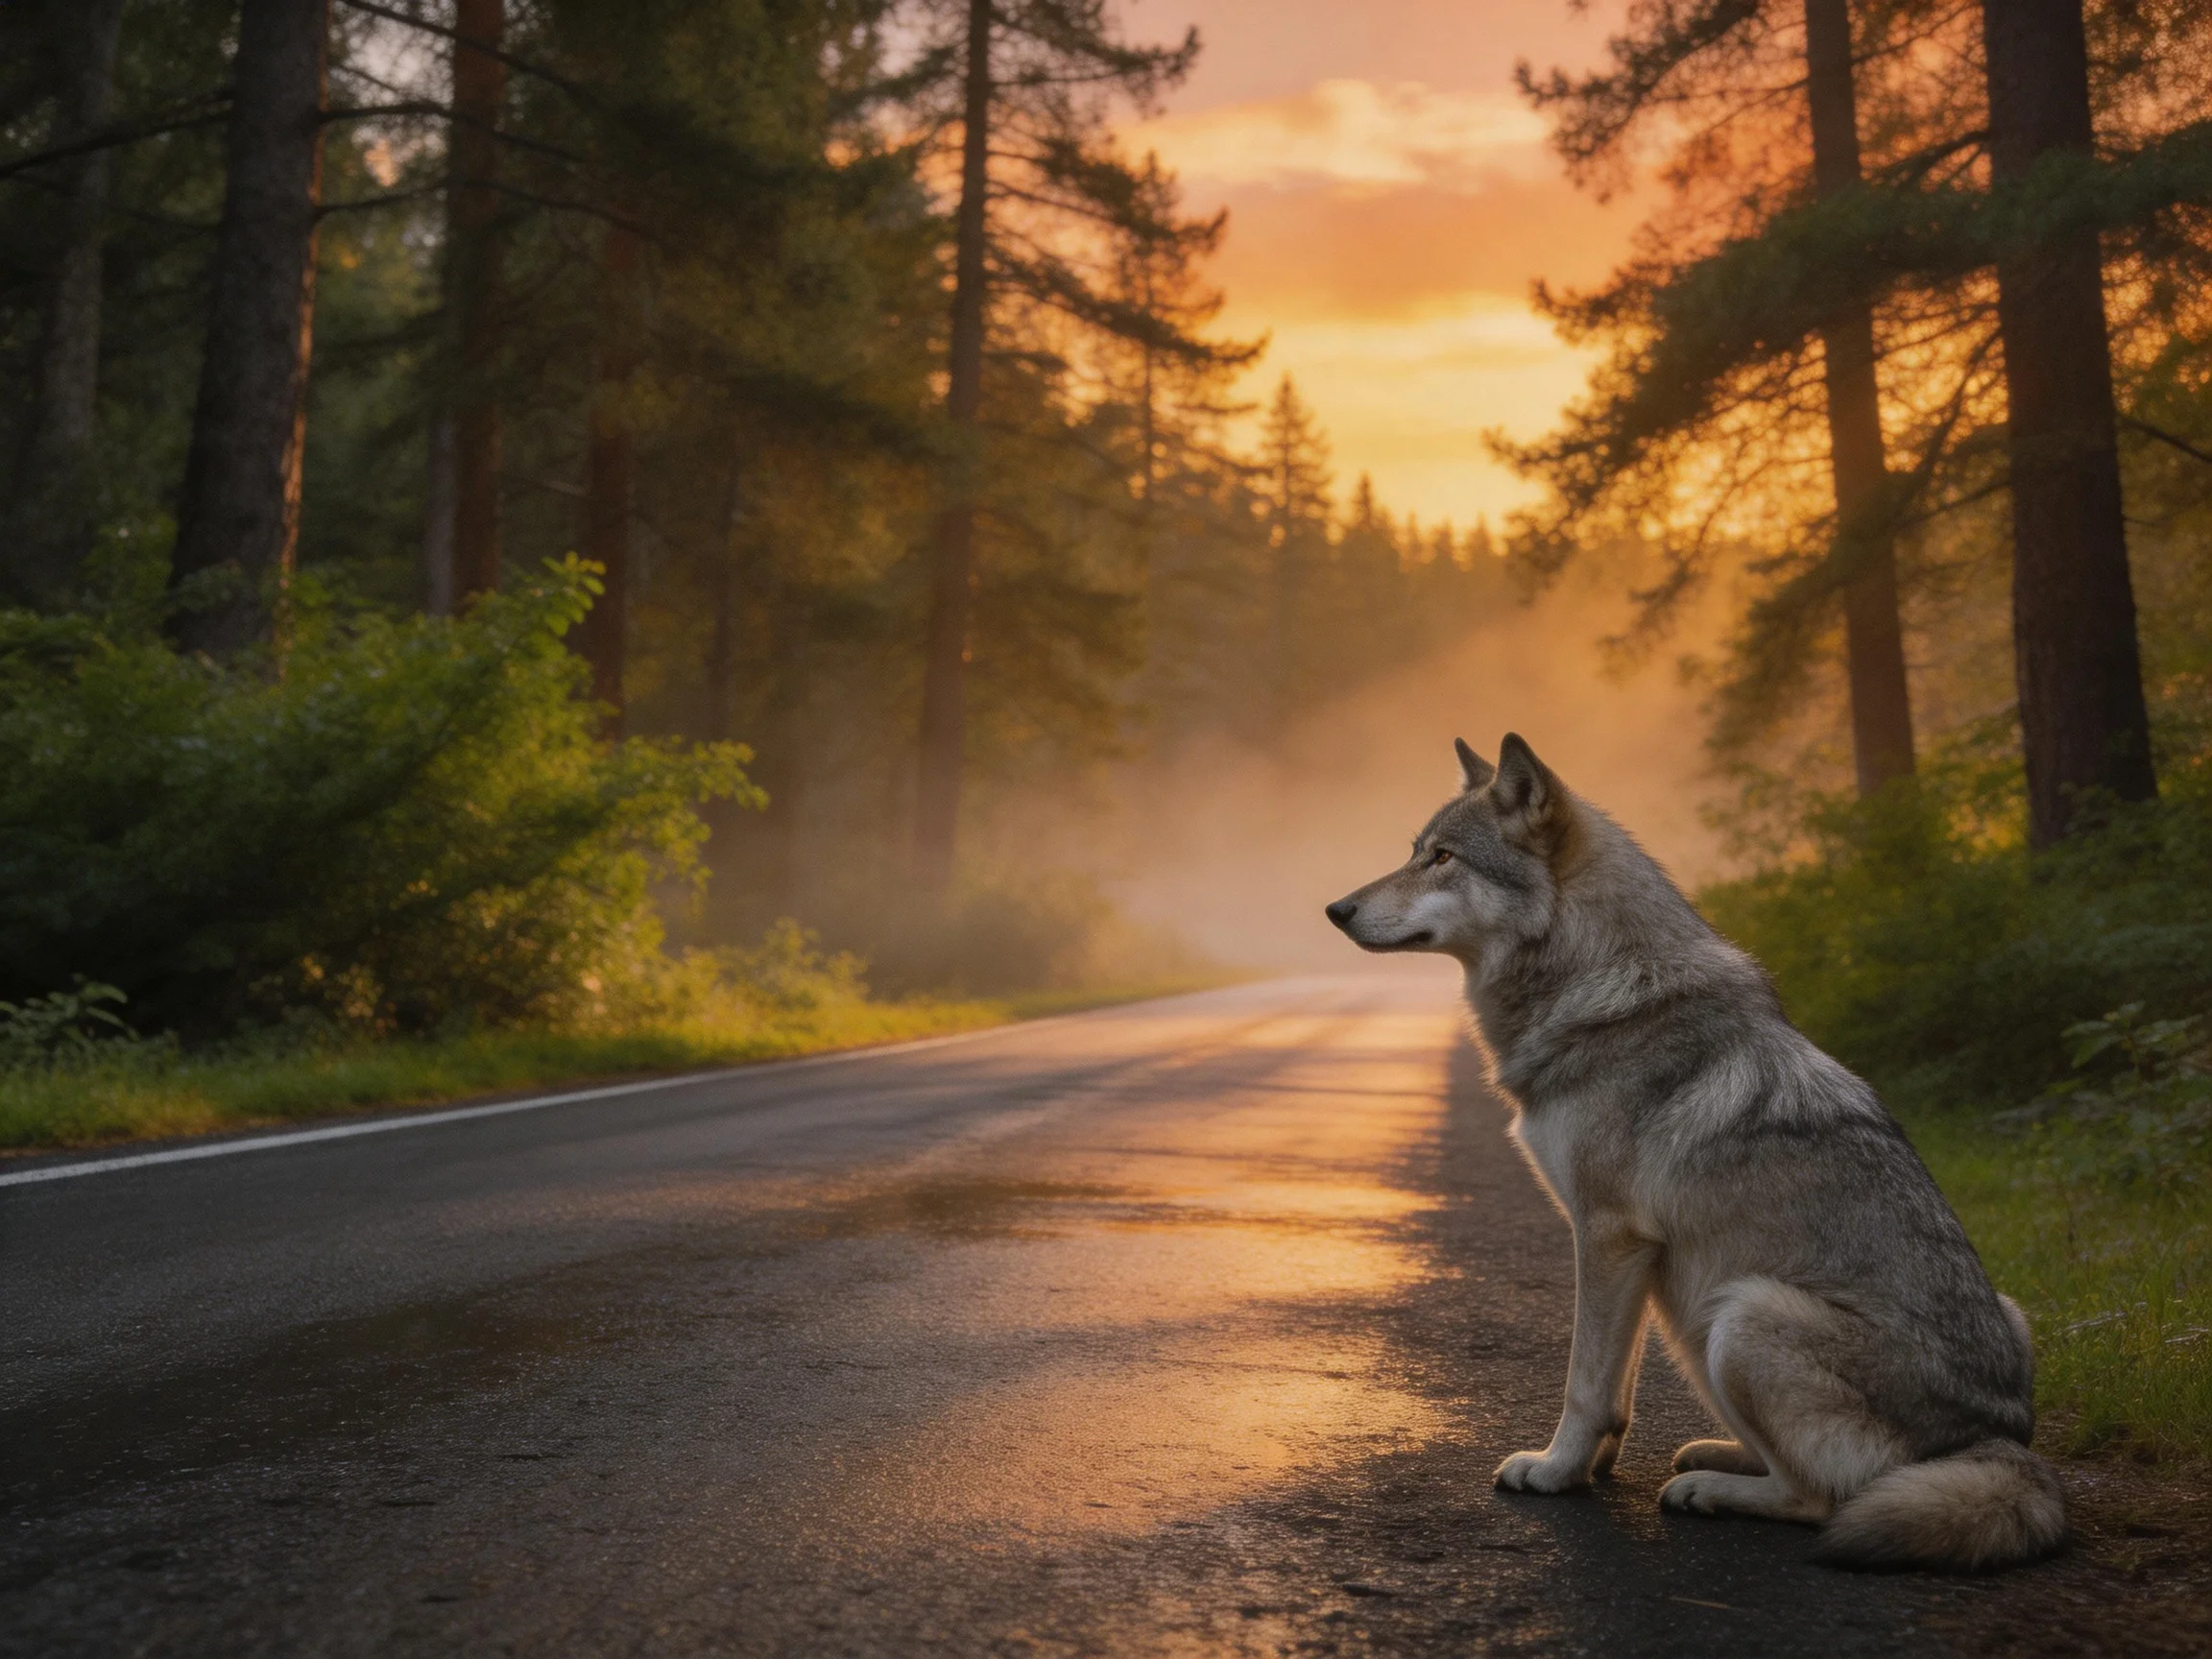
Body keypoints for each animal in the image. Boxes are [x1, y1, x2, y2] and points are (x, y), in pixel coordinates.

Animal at [1325, 734, 2066, 1572]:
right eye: (1414, 851)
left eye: (1442, 857)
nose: (1336, 909)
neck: (1597, 984)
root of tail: (1998, 1441)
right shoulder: (1632, 1255)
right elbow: (1617, 1385)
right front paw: (1592, 1467)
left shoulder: (1608, 1236)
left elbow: (1585, 1382)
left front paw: (1553, 1472)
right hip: (1741, 1316)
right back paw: (1719, 1454)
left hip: (1742, 1312)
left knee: (1822, 1498)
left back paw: (1710, 1490)